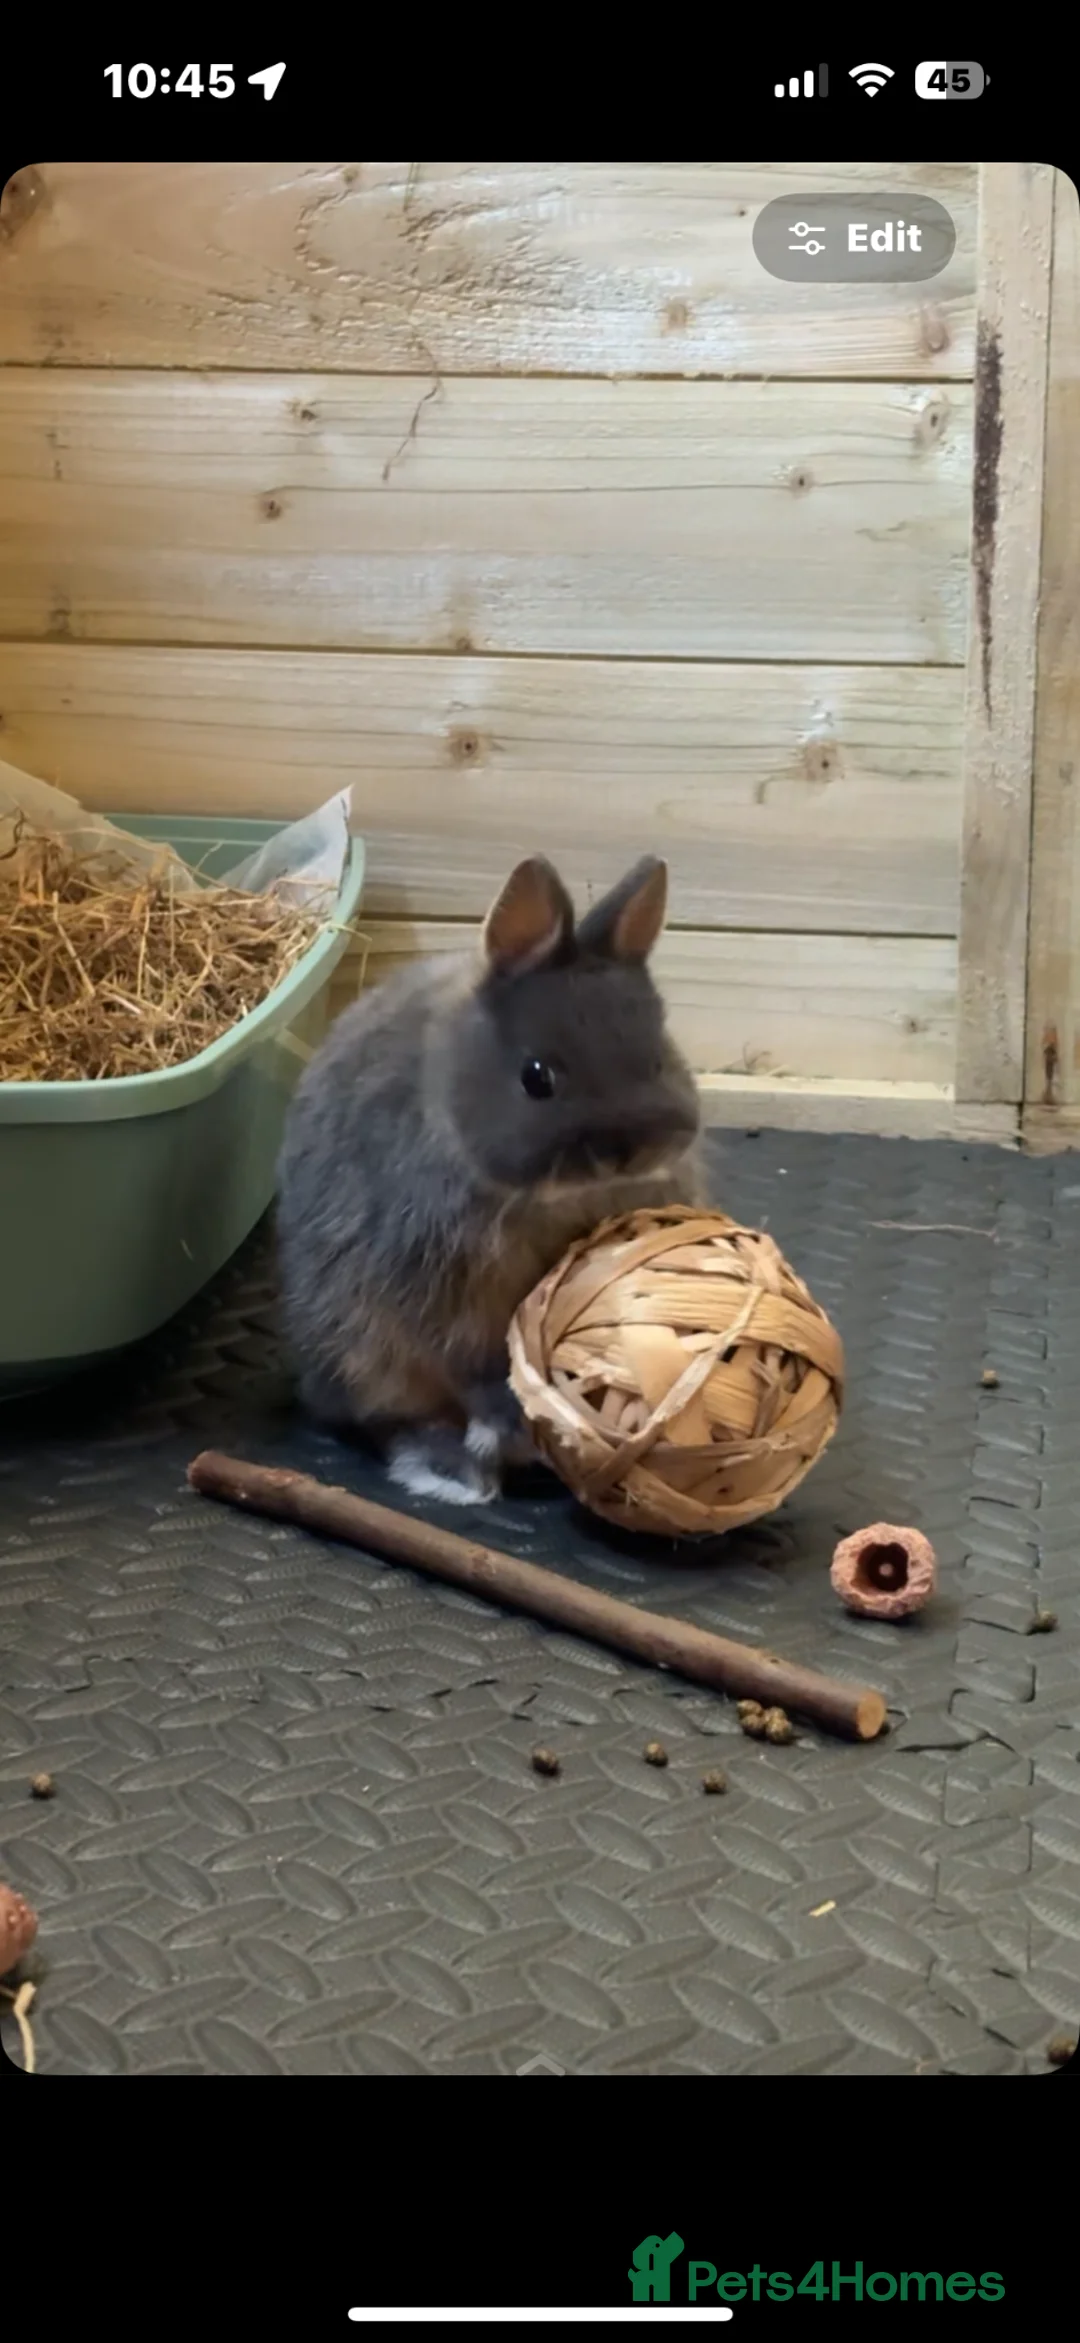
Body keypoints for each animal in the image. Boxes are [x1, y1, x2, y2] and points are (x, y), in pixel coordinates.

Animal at [275, 852, 704, 1505]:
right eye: (536, 1076)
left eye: (657, 1058)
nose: (627, 1153)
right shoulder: (439, 1290)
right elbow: (472, 1365)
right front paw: (512, 1421)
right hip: (358, 1354)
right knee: (393, 1418)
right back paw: (451, 1465)